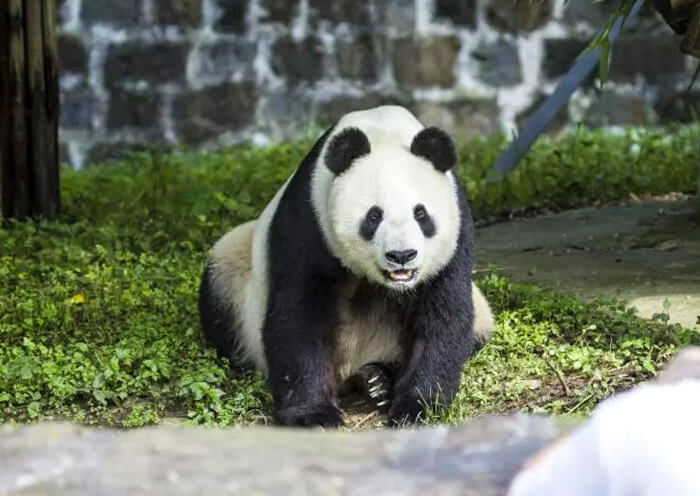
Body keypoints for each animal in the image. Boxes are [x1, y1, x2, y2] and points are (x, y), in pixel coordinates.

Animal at [199, 106, 494, 427]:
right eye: (374, 216)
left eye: (421, 214)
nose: (401, 255)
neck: (382, 130)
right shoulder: (309, 219)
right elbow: (298, 314)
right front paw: (313, 416)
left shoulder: (457, 232)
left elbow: (443, 315)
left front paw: (416, 409)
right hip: (238, 277)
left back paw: (377, 381)